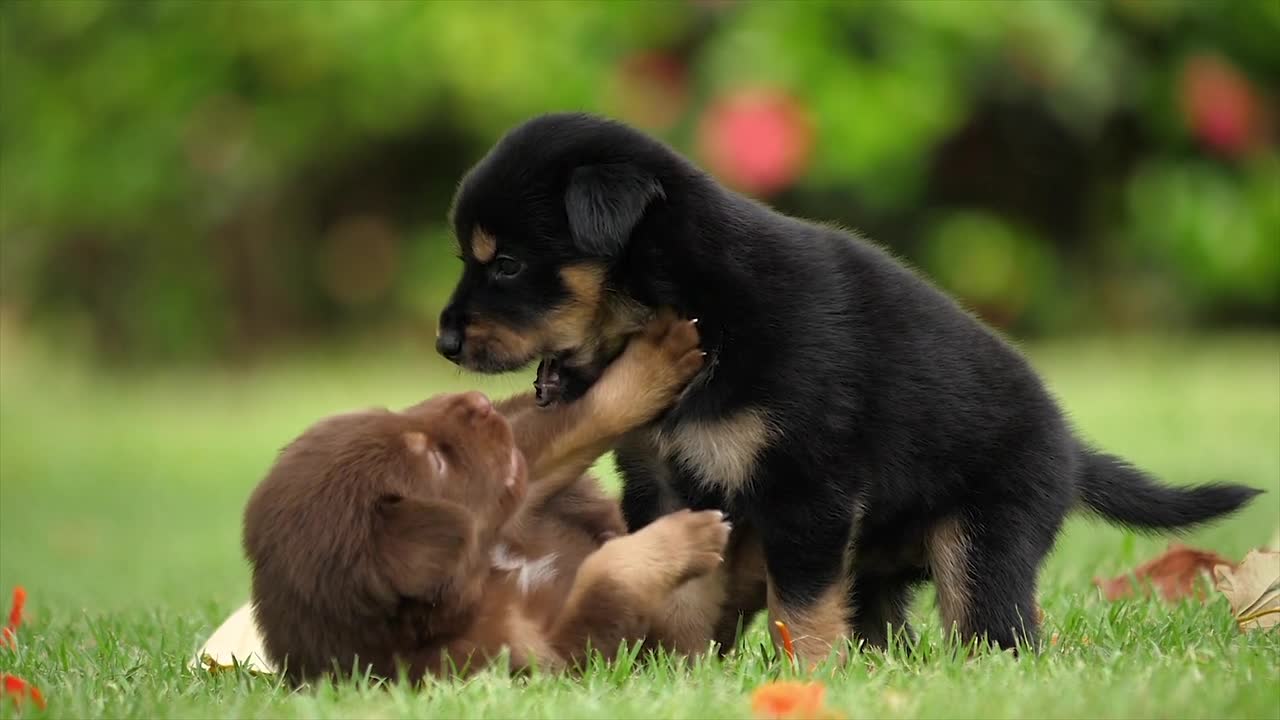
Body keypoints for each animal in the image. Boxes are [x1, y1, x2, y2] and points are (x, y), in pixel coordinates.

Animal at [243, 315, 727, 681]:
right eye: (434, 461)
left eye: (390, 416)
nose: (479, 402)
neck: (486, 576)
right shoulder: (546, 659)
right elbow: (605, 578)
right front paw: (687, 536)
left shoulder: (517, 499)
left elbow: (575, 420)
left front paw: (655, 359)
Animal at [437, 110, 1259, 655]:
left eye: (505, 262)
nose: (443, 342)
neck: (699, 304)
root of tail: (1072, 449)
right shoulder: (661, 481)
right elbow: (678, 581)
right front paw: (678, 666)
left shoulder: (808, 487)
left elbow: (798, 607)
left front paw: (807, 676)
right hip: (882, 567)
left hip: (985, 537)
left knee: (996, 626)